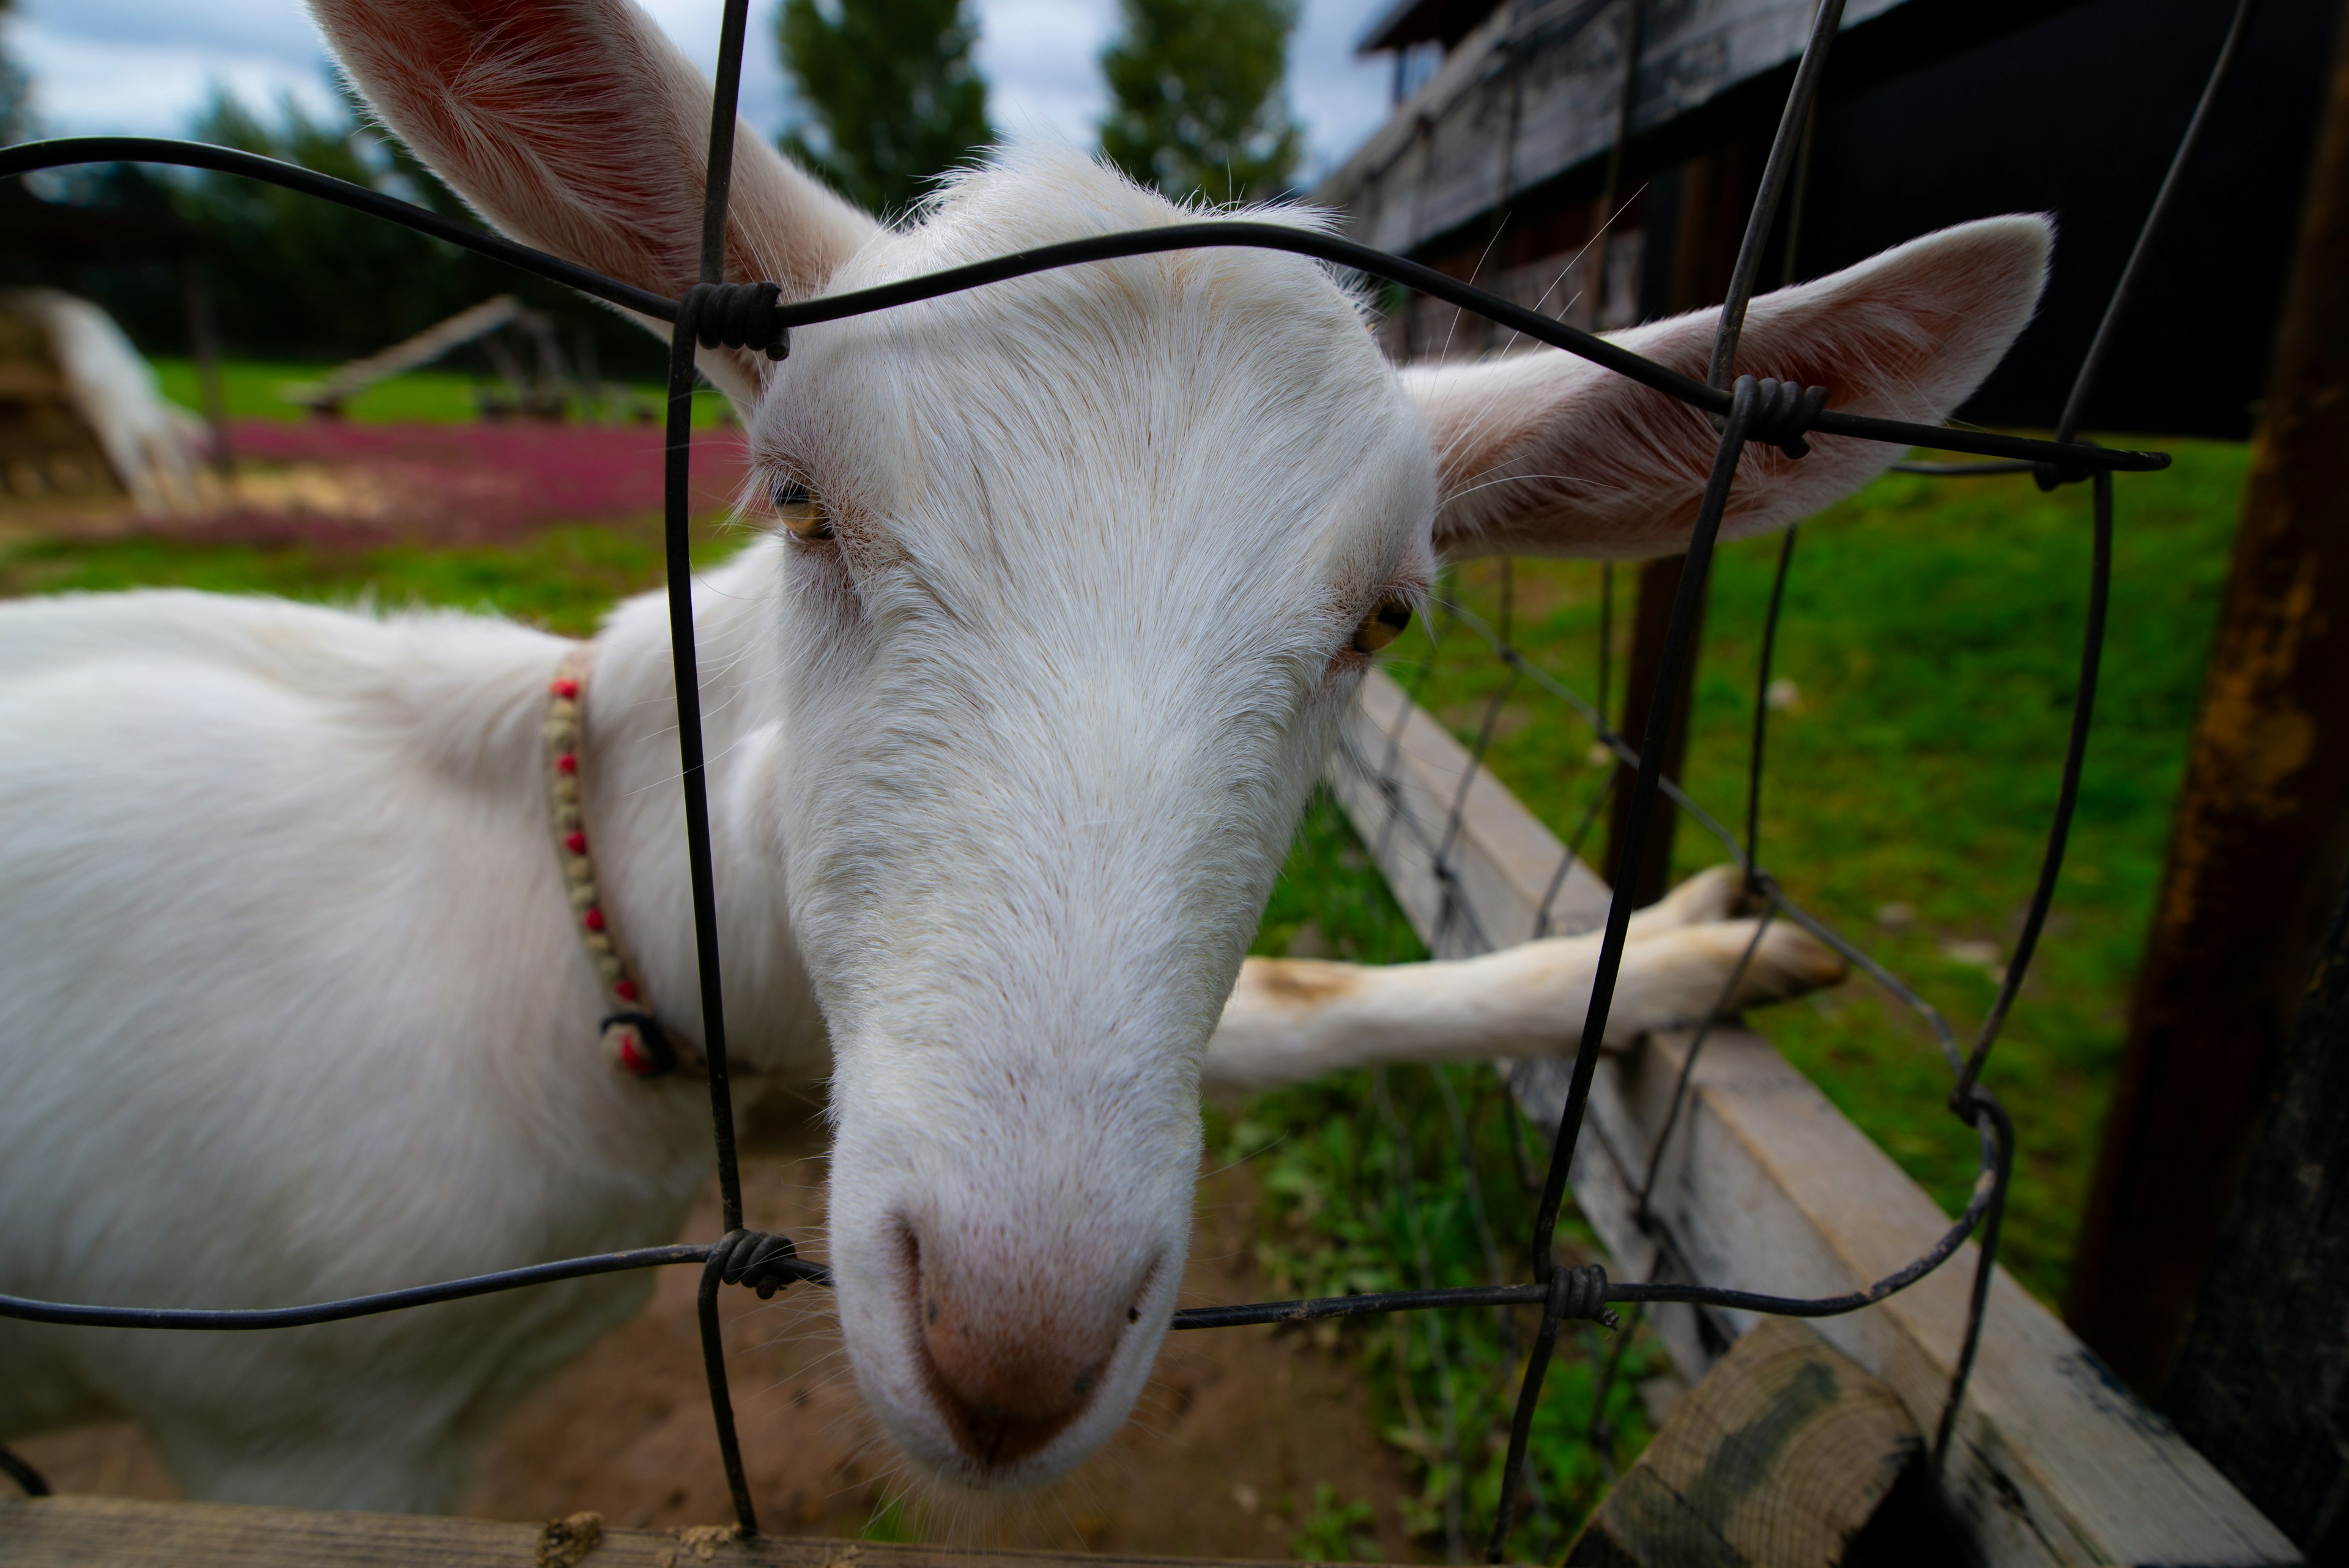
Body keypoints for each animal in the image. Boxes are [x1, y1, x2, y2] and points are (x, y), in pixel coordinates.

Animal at [0, 0, 2057, 1514]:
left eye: (1387, 618)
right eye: (801, 502)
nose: (1009, 1349)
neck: (564, 916)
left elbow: (1304, 993)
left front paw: (1709, 948)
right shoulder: (305, 1441)